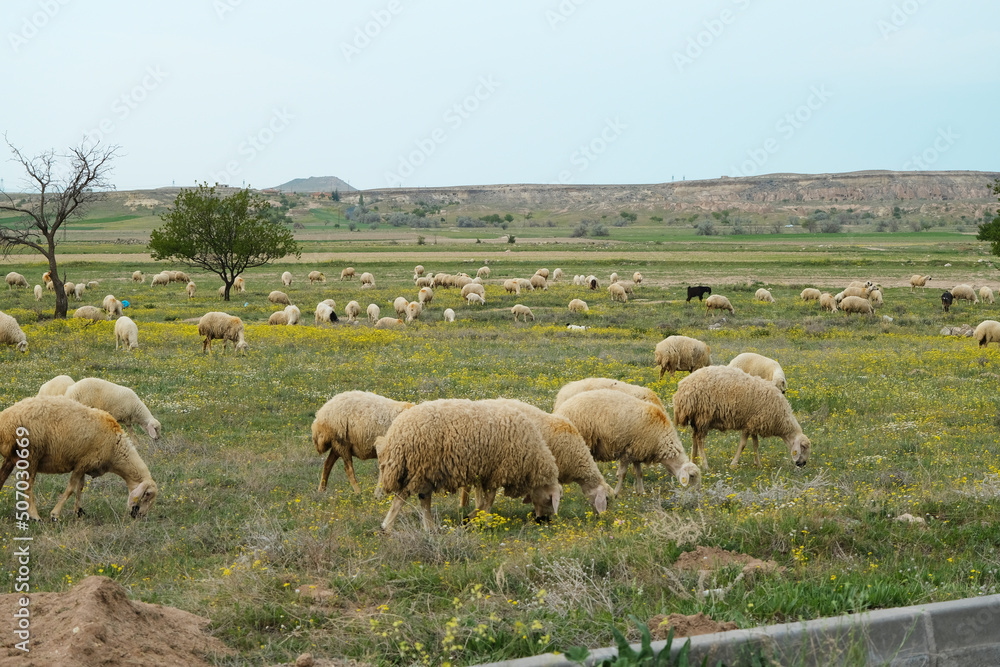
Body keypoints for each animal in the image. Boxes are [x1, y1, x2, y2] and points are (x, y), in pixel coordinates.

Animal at [0, 396, 158, 521]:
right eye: (147, 495)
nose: (140, 516)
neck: (115, 449)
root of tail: (5, 422)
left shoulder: (84, 464)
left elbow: (80, 487)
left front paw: (78, 511)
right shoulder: (82, 463)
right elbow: (71, 488)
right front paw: (55, 515)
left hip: (12, 458)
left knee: (2, 477)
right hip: (32, 453)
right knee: (28, 485)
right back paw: (34, 516)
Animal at [376, 398, 562, 531]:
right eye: (549, 500)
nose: (543, 521)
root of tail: (397, 431)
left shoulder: (483, 471)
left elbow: (482, 500)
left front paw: (475, 519)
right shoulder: (496, 472)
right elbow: (488, 500)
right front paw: (474, 519)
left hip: (423, 470)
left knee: (420, 498)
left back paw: (424, 527)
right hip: (420, 467)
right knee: (404, 497)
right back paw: (391, 527)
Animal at [554, 389, 700, 495]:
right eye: (692, 476)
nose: (695, 496)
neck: (661, 440)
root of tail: (561, 409)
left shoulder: (638, 451)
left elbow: (639, 473)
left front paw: (641, 492)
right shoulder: (627, 451)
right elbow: (623, 474)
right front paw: (616, 493)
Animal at [673, 365, 811, 471]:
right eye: (803, 447)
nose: (802, 464)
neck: (781, 419)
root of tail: (682, 388)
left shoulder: (755, 422)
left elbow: (756, 444)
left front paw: (758, 464)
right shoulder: (749, 424)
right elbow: (743, 445)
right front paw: (733, 465)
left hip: (696, 418)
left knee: (694, 438)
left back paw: (694, 462)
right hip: (703, 415)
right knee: (700, 440)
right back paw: (705, 465)